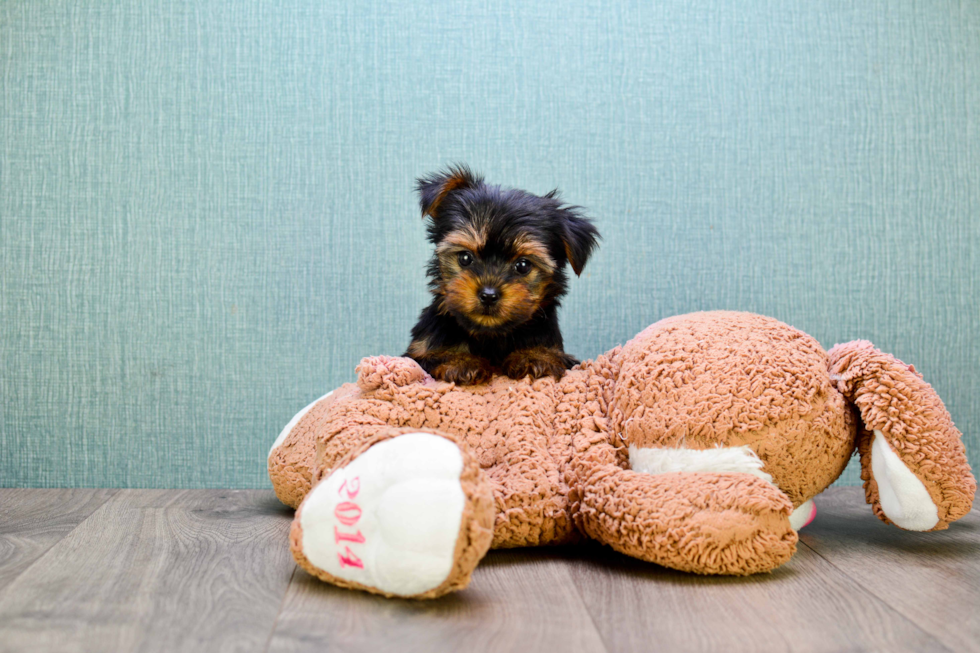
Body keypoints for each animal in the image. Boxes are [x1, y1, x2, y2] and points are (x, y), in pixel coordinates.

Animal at [404, 166, 596, 384]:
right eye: (465, 258)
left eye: (523, 265)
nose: (488, 295)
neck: (490, 335)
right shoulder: (418, 352)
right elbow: (432, 356)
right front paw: (461, 361)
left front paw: (535, 356)